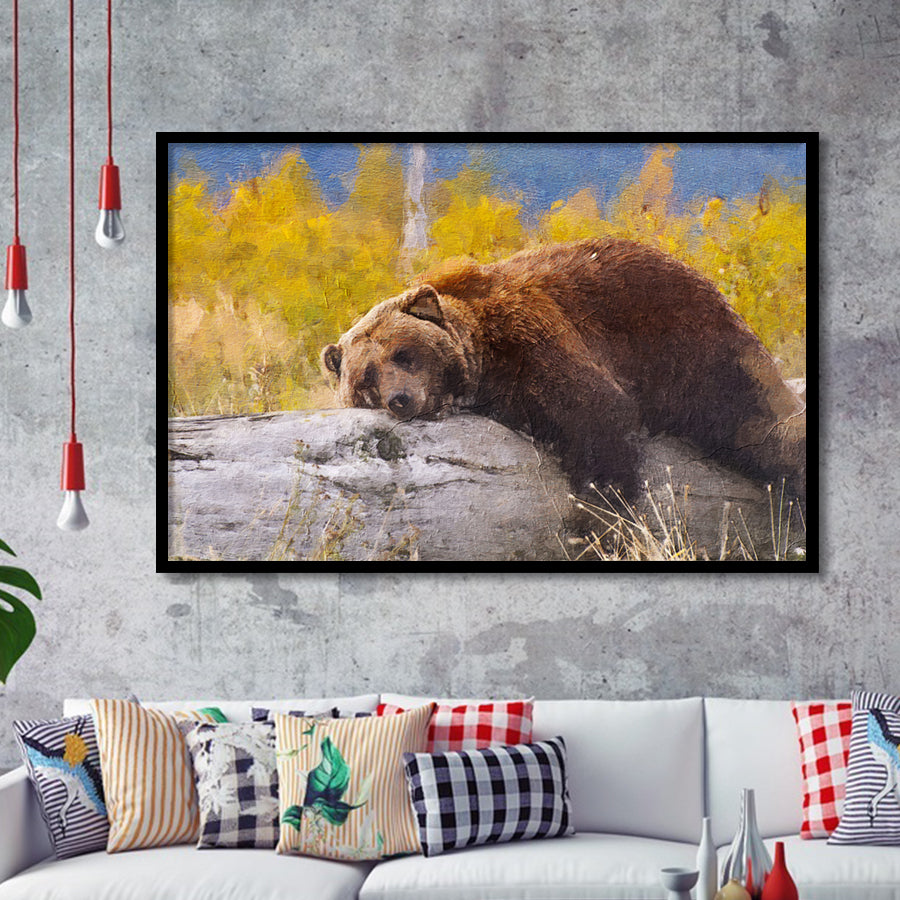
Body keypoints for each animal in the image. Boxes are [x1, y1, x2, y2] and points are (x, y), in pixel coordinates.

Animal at [321, 239, 806, 504]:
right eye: (366, 378)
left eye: (404, 354)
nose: (401, 399)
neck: (484, 357)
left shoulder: (531, 334)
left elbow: (596, 412)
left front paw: (600, 513)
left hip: (694, 350)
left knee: (758, 427)